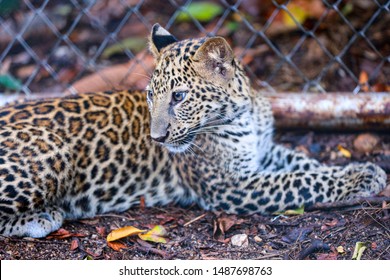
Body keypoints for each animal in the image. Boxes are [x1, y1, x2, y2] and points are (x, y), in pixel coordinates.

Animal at [0, 24, 386, 238]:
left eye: (179, 97)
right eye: (151, 95)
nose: (156, 139)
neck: (243, 114)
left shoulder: (263, 152)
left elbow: (304, 164)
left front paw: (361, 170)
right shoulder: (229, 185)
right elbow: (300, 181)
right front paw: (362, 177)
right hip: (50, 146)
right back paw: (41, 217)